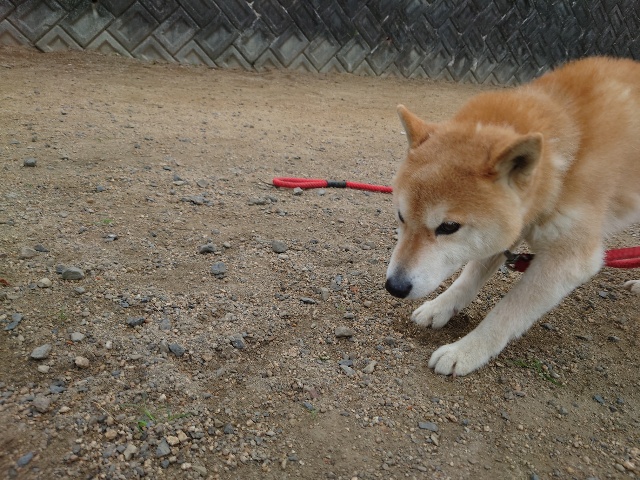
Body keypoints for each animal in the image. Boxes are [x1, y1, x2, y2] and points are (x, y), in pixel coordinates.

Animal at [385, 57, 640, 376]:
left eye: (449, 226)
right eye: (401, 216)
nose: (394, 287)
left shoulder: (570, 260)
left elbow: (507, 312)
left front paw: (465, 351)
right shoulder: (506, 230)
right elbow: (467, 279)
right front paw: (440, 307)